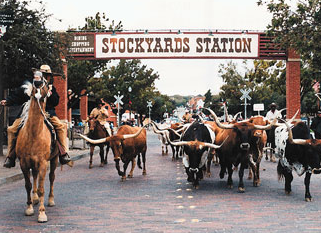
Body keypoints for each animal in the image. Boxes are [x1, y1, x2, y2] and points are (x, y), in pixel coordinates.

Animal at [15, 79, 58, 223]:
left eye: (46, 82)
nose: (37, 82)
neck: (34, 133)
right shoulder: (24, 163)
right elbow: (28, 185)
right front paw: (29, 208)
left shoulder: (43, 163)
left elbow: (41, 189)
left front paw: (42, 213)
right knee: (34, 176)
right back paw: (34, 199)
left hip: (54, 160)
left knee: (51, 177)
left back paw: (50, 200)